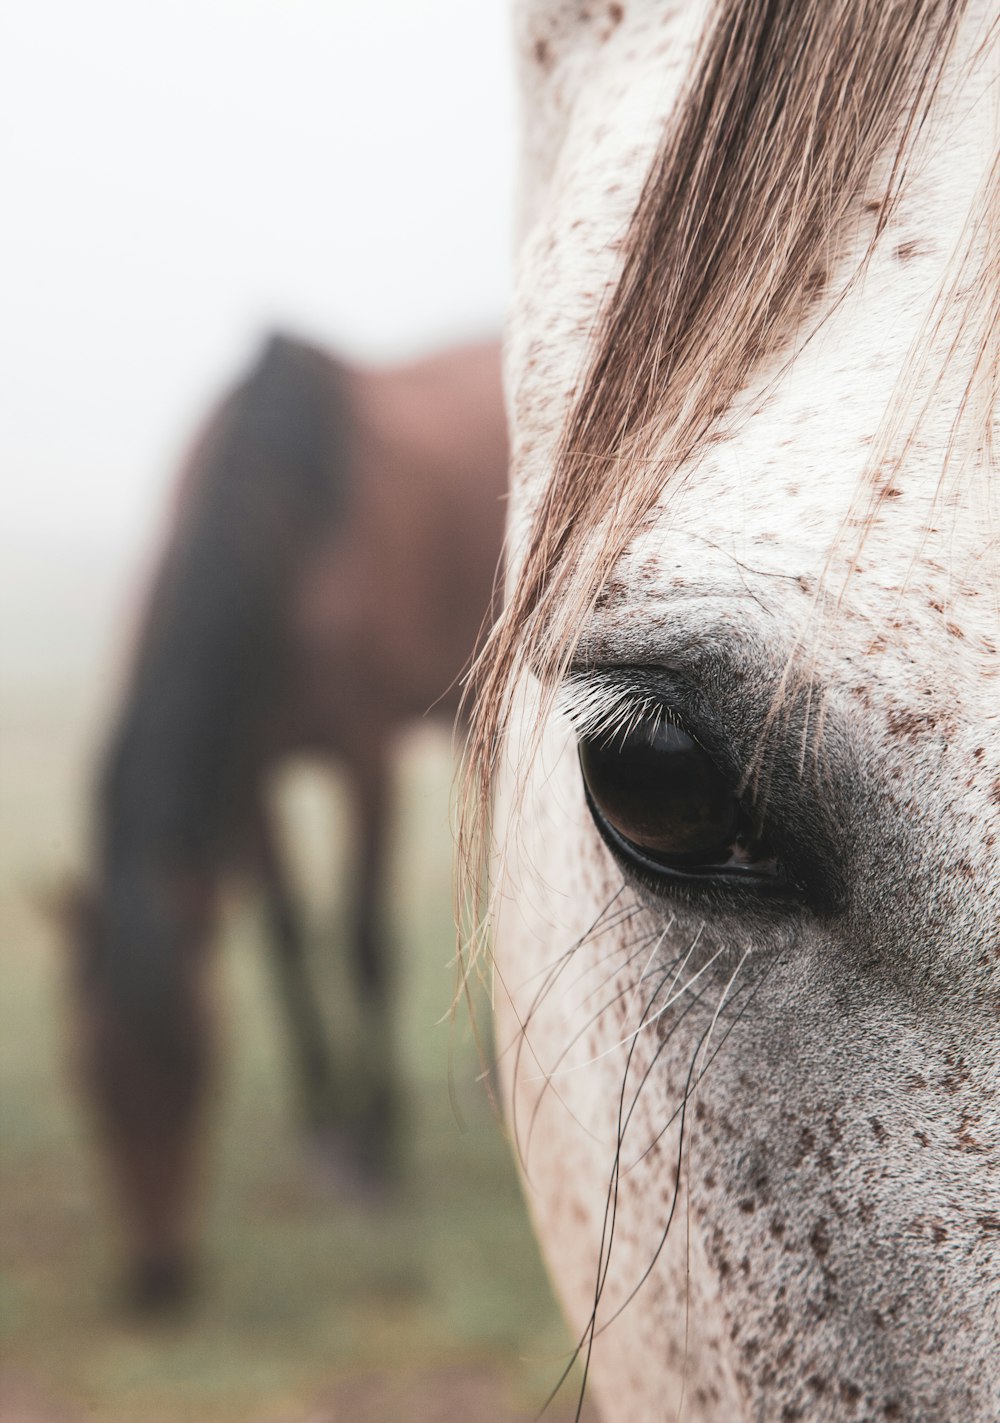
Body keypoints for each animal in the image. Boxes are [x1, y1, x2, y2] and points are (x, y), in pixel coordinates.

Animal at [64, 330, 509, 1303]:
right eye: (90, 1081)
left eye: (201, 1072)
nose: (158, 1282)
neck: (289, 522)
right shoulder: (255, 772)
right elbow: (285, 937)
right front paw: (324, 1133)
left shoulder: (364, 754)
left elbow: (363, 937)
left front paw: (376, 1150)